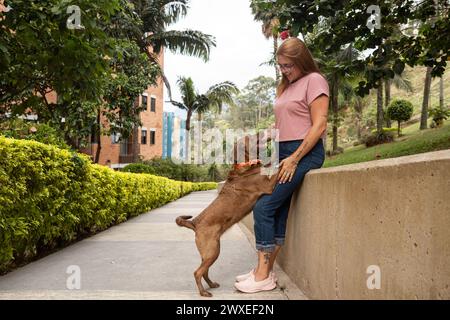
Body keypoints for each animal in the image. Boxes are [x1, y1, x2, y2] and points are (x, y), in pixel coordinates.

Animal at [175, 159, 278, 296]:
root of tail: (194, 223)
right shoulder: (268, 186)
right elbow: (280, 169)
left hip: (207, 254)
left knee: (204, 271)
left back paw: (211, 285)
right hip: (213, 252)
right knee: (197, 272)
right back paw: (203, 292)